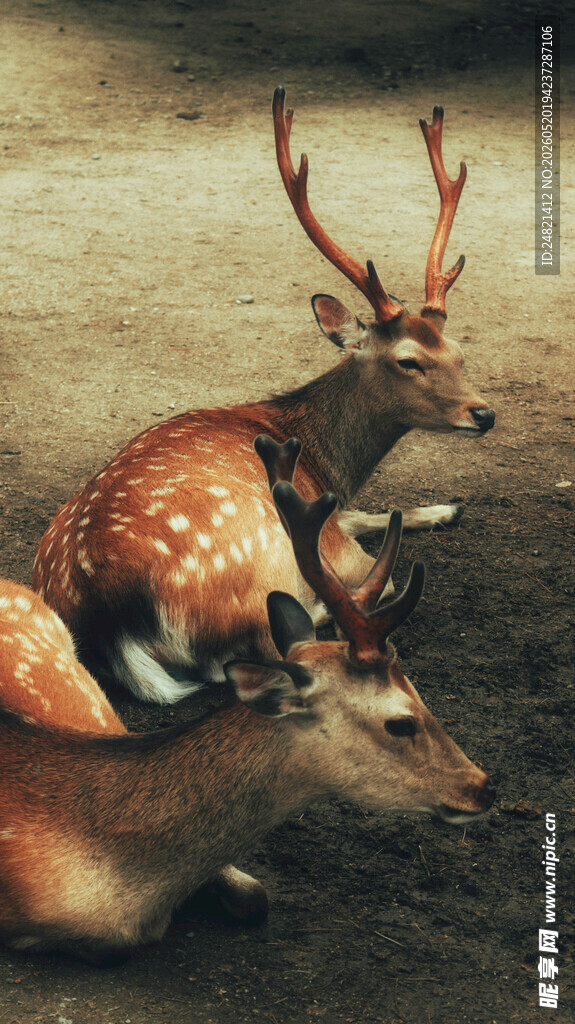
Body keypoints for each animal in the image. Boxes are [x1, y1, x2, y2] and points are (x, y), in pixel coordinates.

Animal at [32, 88, 495, 704]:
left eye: (459, 349)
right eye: (408, 360)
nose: (484, 413)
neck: (323, 460)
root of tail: (109, 623)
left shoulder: (331, 510)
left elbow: (366, 513)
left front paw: (447, 508)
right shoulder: (327, 536)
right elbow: (376, 559)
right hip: (255, 579)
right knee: (254, 650)